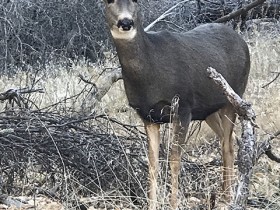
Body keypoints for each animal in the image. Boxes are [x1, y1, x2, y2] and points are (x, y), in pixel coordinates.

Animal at [101, 0, 250, 209]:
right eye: (108, 2)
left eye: (136, 2)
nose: (126, 22)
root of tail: (241, 40)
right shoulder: (148, 116)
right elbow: (153, 163)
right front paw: (152, 204)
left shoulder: (183, 108)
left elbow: (175, 160)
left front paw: (173, 204)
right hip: (208, 110)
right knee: (224, 140)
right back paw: (223, 195)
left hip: (233, 96)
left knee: (228, 144)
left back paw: (228, 198)